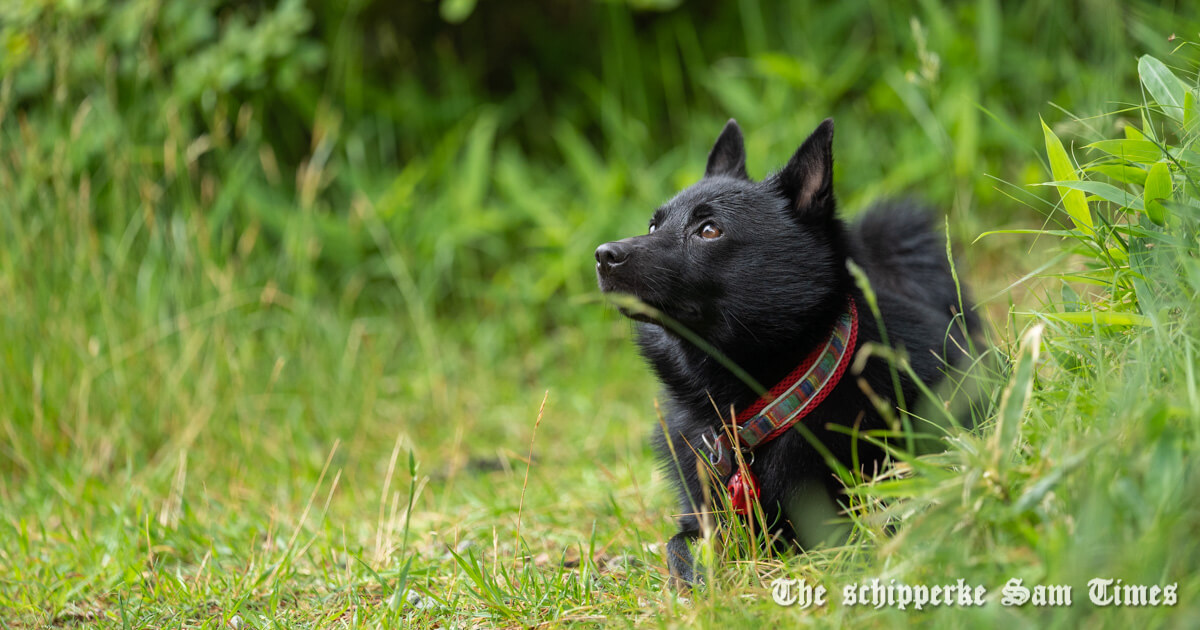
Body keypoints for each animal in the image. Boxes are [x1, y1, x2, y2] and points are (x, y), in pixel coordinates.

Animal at [592, 119, 974, 585]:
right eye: (652, 226)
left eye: (709, 230)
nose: (603, 255)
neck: (753, 414)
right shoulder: (700, 515)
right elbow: (678, 546)